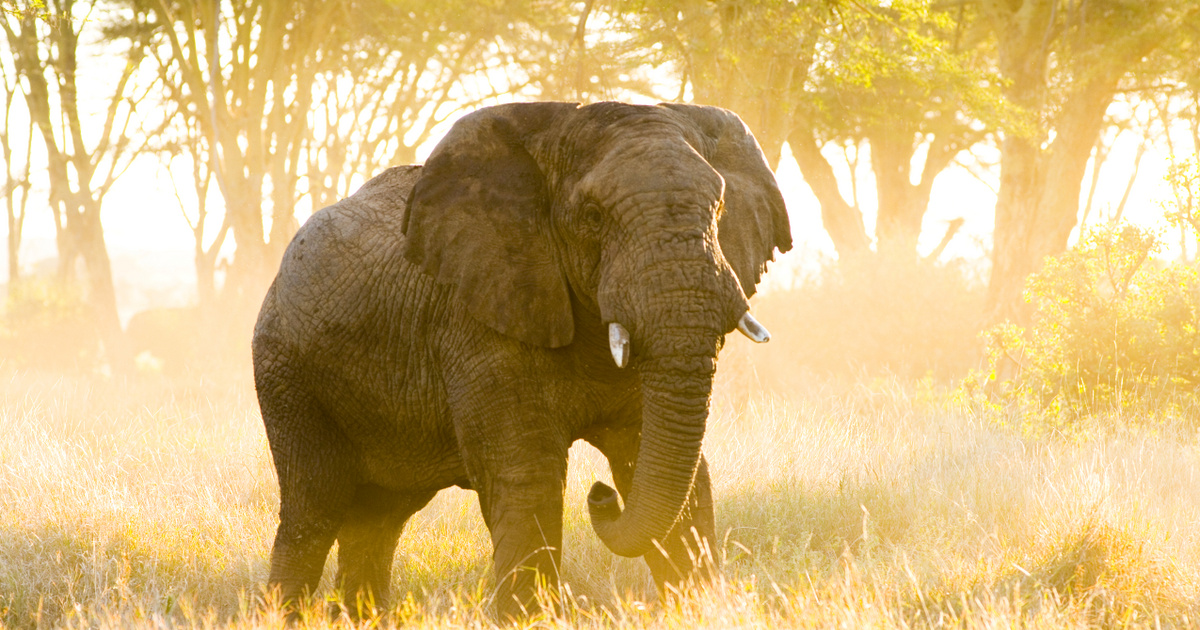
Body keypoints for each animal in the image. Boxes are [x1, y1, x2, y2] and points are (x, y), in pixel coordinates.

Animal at [255, 99, 787, 614]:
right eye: (593, 217)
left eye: (720, 210)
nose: (600, 494)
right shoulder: (476, 321)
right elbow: (528, 477)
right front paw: (526, 617)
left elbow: (660, 467)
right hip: (285, 369)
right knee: (313, 510)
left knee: (379, 518)